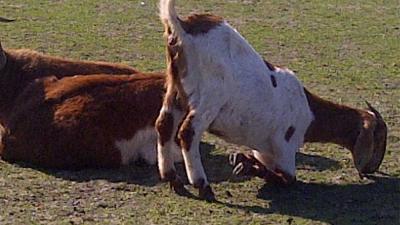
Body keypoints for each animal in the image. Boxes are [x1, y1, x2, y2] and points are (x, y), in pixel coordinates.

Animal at [155, 0, 386, 200]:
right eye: (380, 138)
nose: (372, 169)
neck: (309, 112)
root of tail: (182, 27)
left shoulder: (263, 151)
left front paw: (243, 161)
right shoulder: (285, 146)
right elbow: (289, 178)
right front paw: (245, 165)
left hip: (175, 91)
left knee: (164, 124)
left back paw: (173, 179)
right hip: (209, 96)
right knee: (187, 132)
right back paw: (202, 185)